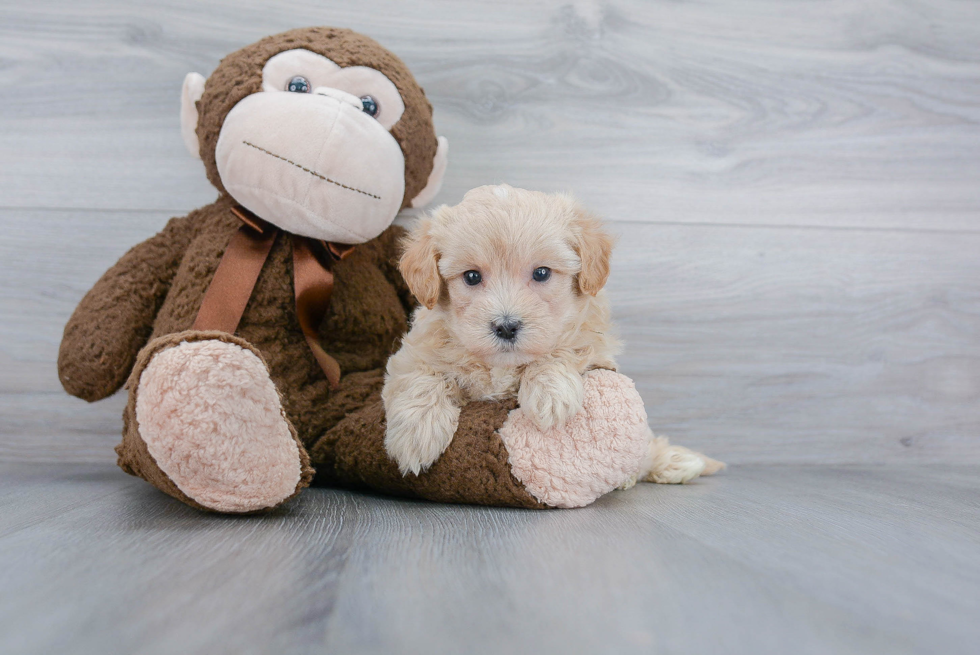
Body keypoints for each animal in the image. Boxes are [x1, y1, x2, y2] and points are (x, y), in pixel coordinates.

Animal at [380, 184, 720, 482]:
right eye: (472, 277)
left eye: (541, 273)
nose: (506, 326)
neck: (501, 366)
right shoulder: (413, 352)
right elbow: (420, 378)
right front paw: (415, 435)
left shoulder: (595, 344)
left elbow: (565, 347)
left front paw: (550, 394)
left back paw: (675, 463)